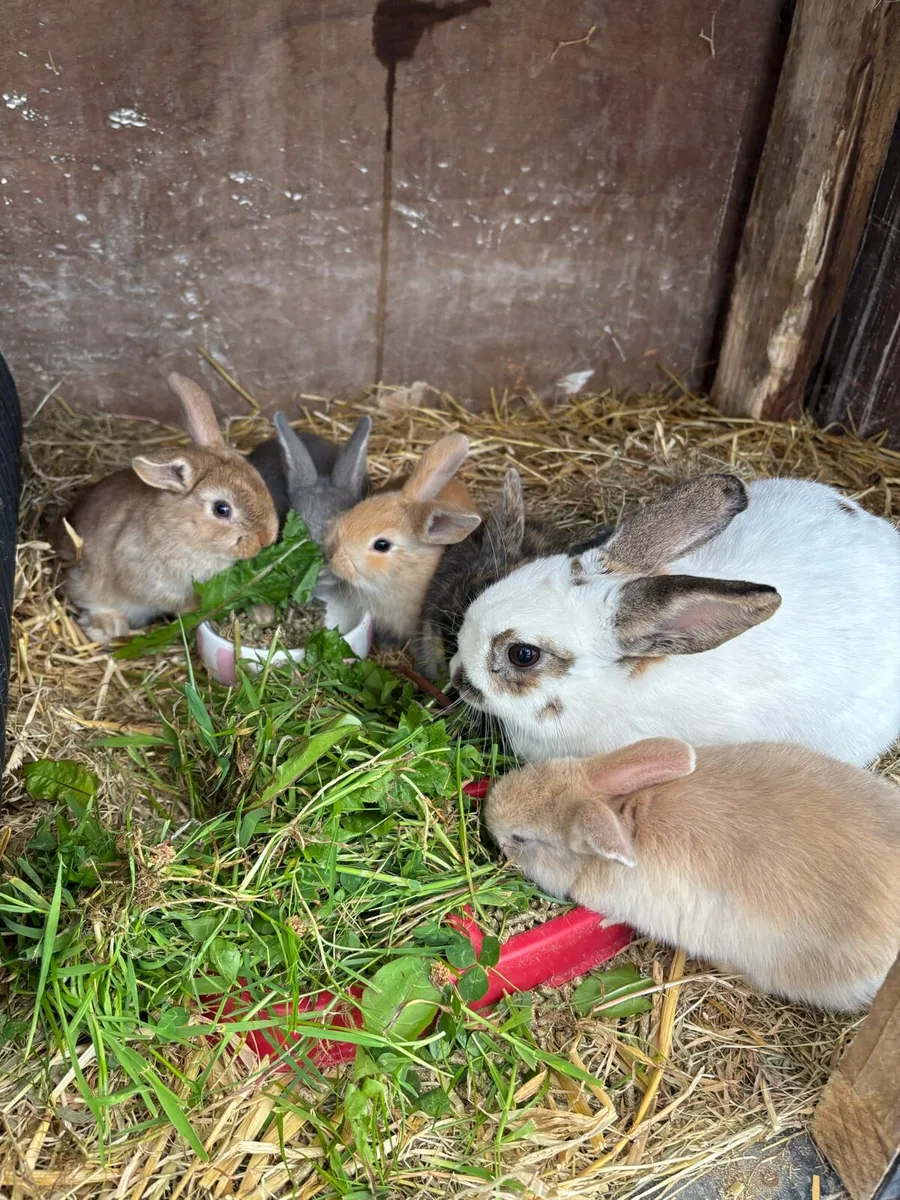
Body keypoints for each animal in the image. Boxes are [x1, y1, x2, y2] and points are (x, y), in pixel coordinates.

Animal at [54, 372, 279, 645]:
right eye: (222, 509)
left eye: (258, 478)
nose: (267, 537)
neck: (185, 531)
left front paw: (263, 612)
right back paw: (109, 627)